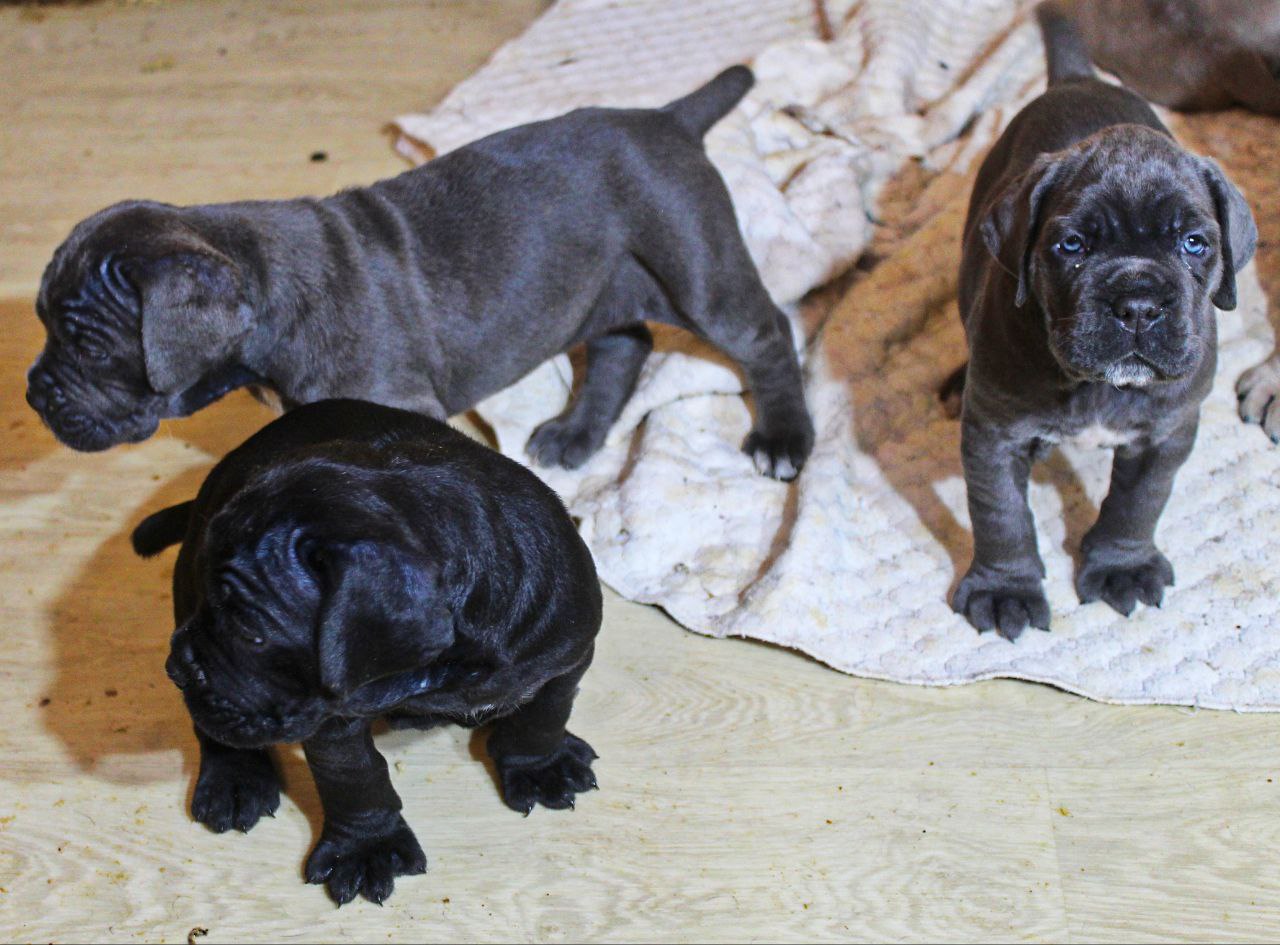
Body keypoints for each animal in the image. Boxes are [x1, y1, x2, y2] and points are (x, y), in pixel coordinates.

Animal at [26, 66, 813, 480]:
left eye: (90, 347)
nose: (33, 394)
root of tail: (669, 118)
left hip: (696, 268)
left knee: (767, 335)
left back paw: (783, 441)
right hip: (608, 282)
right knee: (627, 343)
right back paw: (575, 435)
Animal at [132, 399, 603, 905]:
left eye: (250, 632)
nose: (177, 668)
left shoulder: (568, 655)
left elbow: (543, 716)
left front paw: (541, 767)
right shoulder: (329, 715)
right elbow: (353, 776)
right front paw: (366, 848)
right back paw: (235, 779)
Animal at [947, 4, 1257, 640]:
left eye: (1194, 244)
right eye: (1072, 246)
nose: (1137, 305)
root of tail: (1075, 78)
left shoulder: (1166, 432)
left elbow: (1138, 503)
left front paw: (1122, 566)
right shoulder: (992, 434)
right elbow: (1000, 513)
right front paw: (1004, 588)